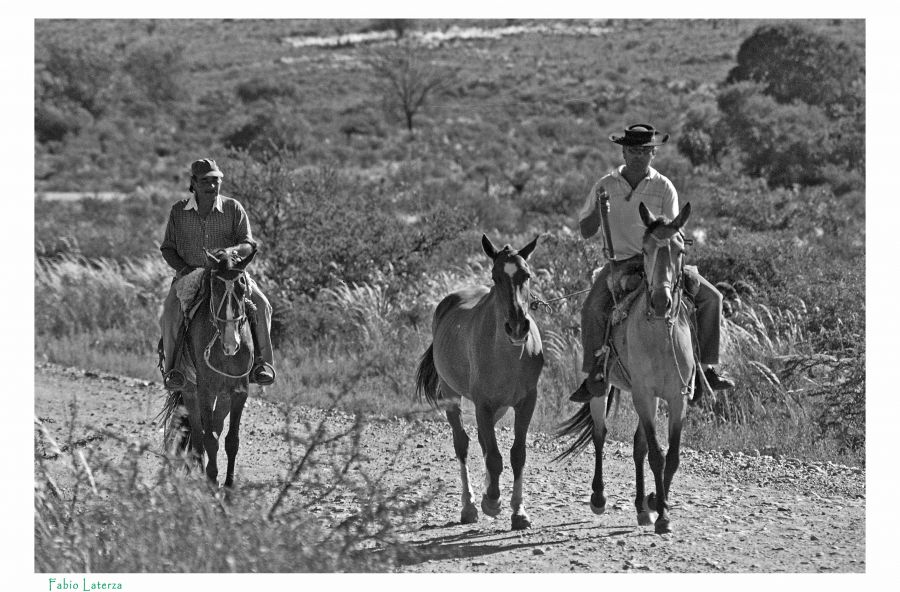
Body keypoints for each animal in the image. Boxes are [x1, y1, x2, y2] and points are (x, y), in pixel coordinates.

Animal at [158, 247, 255, 488]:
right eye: (216, 289)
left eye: (242, 288)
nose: (231, 343)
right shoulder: (205, 391)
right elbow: (208, 438)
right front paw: (211, 479)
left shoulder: (239, 392)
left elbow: (231, 440)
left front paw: (228, 484)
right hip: (189, 389)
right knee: (198, 432)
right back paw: (199, 470)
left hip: (224, 394)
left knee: (215, 428)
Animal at [414, 236, 540, 532]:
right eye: (495, 276)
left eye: (526, 275)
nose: (517, 326)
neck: (508, 354)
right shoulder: (483, 404)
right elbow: (494, 457)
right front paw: (491, 501)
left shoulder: (526, 402)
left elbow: (517, 455)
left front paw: (519, 512)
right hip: (451, 395)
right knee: (463, 444)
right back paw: (470, 506)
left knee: (484, 441)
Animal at [556, 201, 696, 536]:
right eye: (645, 250)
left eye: (680, 249)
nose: (660, 302)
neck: (661, 336)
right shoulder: (643, 395)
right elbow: (657, 455)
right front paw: (663, 516)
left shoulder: (676, 398)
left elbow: (671, 456)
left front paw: (656, 503)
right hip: (603, 386)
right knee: (599, 433)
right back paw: (599, 498)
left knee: (636, 446)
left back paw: (642, 508)